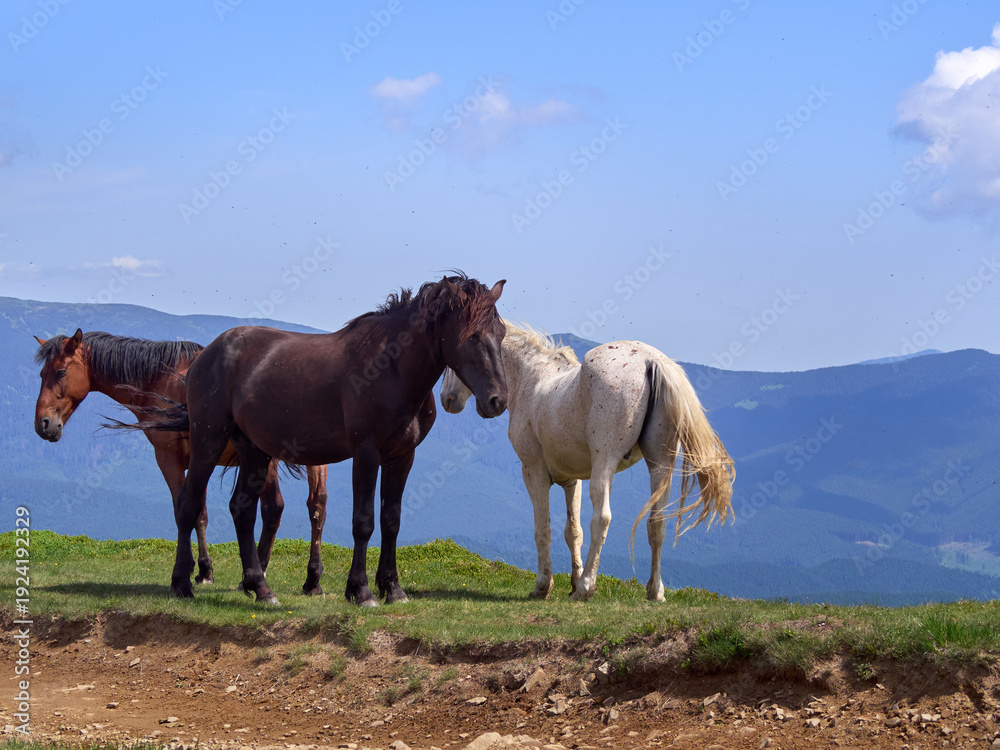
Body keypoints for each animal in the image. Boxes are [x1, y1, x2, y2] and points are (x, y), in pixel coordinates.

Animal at [33, 330, 332, 594]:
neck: (158, 378)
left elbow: (183, 510)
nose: (43, 424)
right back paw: (311, 581)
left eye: (60, 372)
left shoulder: (169, 458)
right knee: (315, 506)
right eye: (41, 374)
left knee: (274, 508)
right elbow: (201, 514)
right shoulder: (199, 461)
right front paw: (204, 570)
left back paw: (257, 577)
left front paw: (187, 573)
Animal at [132, 274, 508, 607]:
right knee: (189, 505)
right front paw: (361, 591)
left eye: (501, 333)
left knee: (242, 508)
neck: (391, 370)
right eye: (473, 335)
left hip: (254, 450)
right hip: (208, 443)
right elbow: (364, 522)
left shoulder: (402, 457)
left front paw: (393, 589)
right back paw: (182, 584)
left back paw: (261, 588)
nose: (497, 400)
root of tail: (204, 355)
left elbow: (391, 520)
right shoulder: (366, 454)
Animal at [439, 322, 734, 602]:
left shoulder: (534, 473)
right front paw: (571, 580)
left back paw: (586, 588)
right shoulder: (573, 480)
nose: (446, 399)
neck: (531, 378)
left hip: (606, 463)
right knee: (656, 522)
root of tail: (651, 361)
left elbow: (543, 529)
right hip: (659, 465)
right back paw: (654, 591)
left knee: (601, 518)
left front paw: (544, 587)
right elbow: (573, 531)